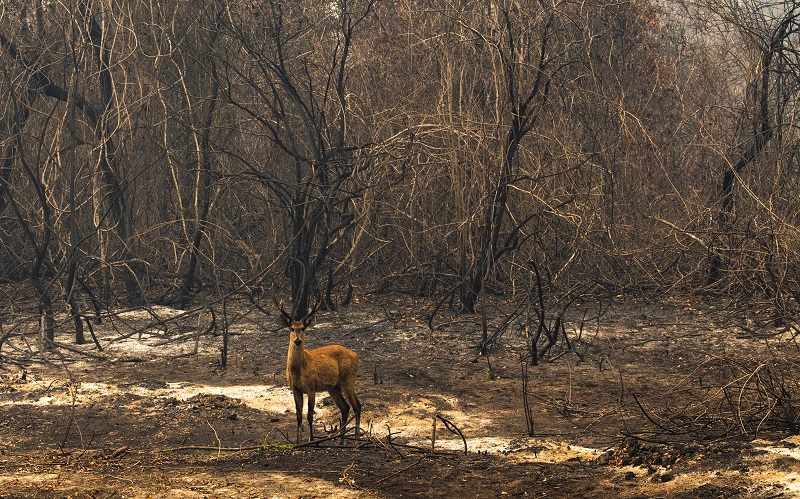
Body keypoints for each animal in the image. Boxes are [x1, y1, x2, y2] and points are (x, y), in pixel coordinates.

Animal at [276, 300, 360, 446]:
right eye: (292, 328)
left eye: (303, 328)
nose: (297, 340)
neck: (298, 370)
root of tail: (356, 356)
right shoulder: (295, 389)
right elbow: (298, 415)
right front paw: (298, 442)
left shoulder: (311, 387)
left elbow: (310, 414)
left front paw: (311, 440)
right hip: (333, 387)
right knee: (345, 407)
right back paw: (341, 440)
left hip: (348, 379)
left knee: (357, 406)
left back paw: (355, 438)